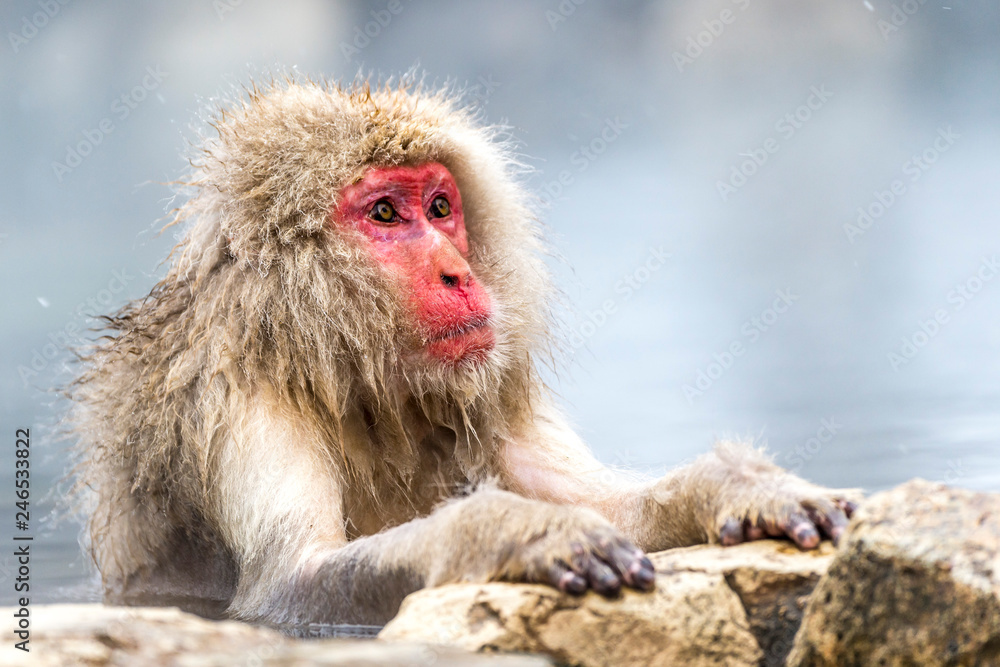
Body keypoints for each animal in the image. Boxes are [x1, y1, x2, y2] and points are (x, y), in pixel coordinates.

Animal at [69, 78, 858, 628]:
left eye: (441, 208)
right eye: (387, 214)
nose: (457, 271)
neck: (343, 371)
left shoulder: (481, 387)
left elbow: (605, 502)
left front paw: (735, 485)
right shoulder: (238, 401)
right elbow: (289, 584)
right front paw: (519, 531)